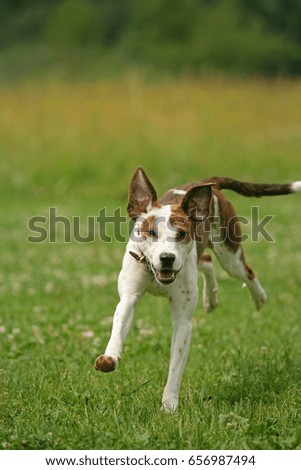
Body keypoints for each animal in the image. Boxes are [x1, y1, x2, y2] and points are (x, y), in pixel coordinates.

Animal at [94, 168, 300, 412]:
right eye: (151, 232)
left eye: (181, 234)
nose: (167, 258)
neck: (157, 275)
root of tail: (206, 183)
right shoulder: (129, 297)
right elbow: (118, 327)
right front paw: (109, 358)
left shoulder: (183, 322)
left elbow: (175, 368)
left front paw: (169, 405)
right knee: (207, 261)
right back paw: (210, 297)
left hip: (230, 255)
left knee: (246, 271)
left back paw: (259, 297)